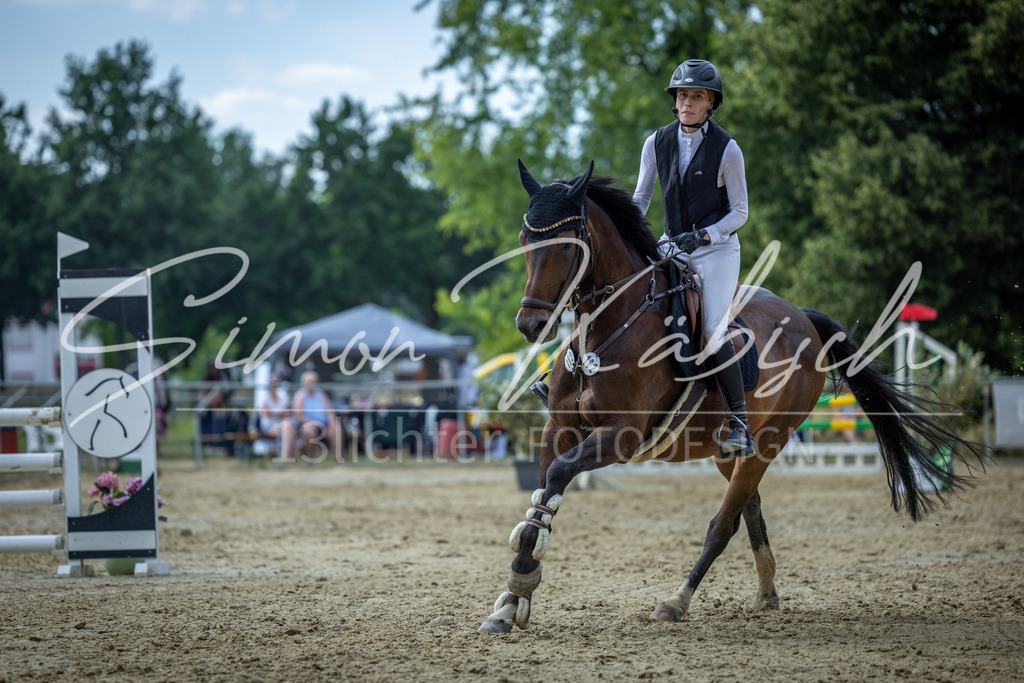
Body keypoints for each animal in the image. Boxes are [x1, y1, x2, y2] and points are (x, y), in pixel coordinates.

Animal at [478, 160, 985, 633]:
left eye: (568, 246)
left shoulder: (619, 436)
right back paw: (766, 591)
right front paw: (512, 600)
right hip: (728, 451)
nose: (531, 325)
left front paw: (521, 581)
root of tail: (804, 317)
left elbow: (557, 479)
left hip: (770, 441)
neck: (609, 326)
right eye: (524, 240)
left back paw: (677, 602)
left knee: (724, 524)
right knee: (750, 507)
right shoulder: (558, 428)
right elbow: (542, 493)